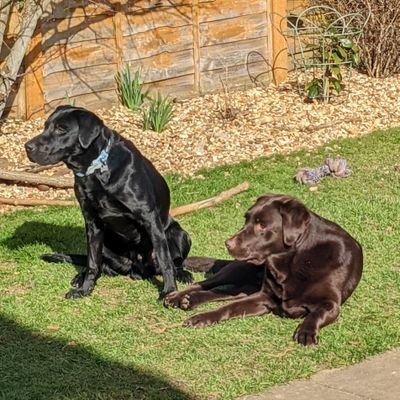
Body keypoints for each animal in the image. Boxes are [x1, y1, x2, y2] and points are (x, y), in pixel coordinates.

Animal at [25, 104, 193, 298]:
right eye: (45, 126)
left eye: (61, 129)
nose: (27, 147)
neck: (96, 169)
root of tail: (137, 269)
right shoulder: (92, 223)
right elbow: (92, 262)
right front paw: (84, 289)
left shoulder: (149, 217)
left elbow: (165, 258)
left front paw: (169, 291)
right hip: (105, 241)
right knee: (99, 264)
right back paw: (80, 277)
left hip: (180, 233)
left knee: (175, 261)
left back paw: (182, 274)